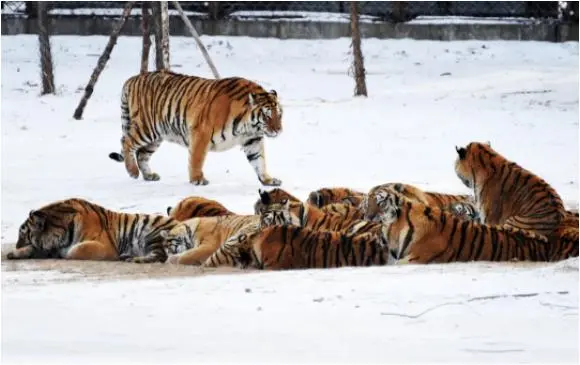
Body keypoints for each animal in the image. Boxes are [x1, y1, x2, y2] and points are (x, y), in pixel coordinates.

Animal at [6, 196, 177, 262]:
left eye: (22, 235)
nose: (17, 245)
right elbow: (32, 249)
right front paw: (14, 253)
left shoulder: (105, 247)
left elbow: (76, 250)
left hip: (153, 234)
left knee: (160, 255)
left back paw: (132, 258)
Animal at [107, 70, 284, 186]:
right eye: (267, 116)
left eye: (279, 115)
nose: (278, 130)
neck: (247, 126)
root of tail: (132, 78)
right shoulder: (201, 133)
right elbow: (197, 159)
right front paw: (197, 179)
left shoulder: (252, 139)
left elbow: (259, 160)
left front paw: (268, 179)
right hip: (146, 128)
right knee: (126, 142)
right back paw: (132, 171)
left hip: (156, 137)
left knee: (142, 154)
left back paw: (149, 175)